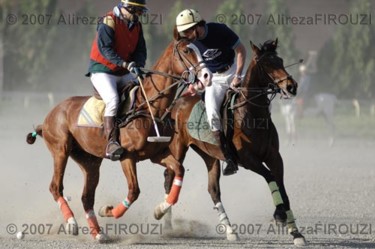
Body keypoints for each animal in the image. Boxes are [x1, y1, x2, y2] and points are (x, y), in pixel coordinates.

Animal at [26, 38, 213, 242]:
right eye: (187, 51)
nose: (207, 76)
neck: (149, 107)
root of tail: (48, 116)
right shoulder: (127, 157)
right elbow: (134, 191)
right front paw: (107, 210)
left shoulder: (158, 155)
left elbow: (179, 170)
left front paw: (159, 210)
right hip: (61, 150)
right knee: (55, 187)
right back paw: (71, 223)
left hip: (89, 161)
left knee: (86, 197)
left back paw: (98, 233)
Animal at [156, 40, 308, 246]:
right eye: (267, 64)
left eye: (281, 61)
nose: (291, 86)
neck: (252, 114)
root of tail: (177, 102)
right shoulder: (248, 159)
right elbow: (270, 177)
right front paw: (280, 215)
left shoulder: (275, 157)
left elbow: (281, 186)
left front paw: (296, 232)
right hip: (179, 148)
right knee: (170, 176)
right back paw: (165, 219)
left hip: (209, 156)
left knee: (213, 190)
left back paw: (230, 230)